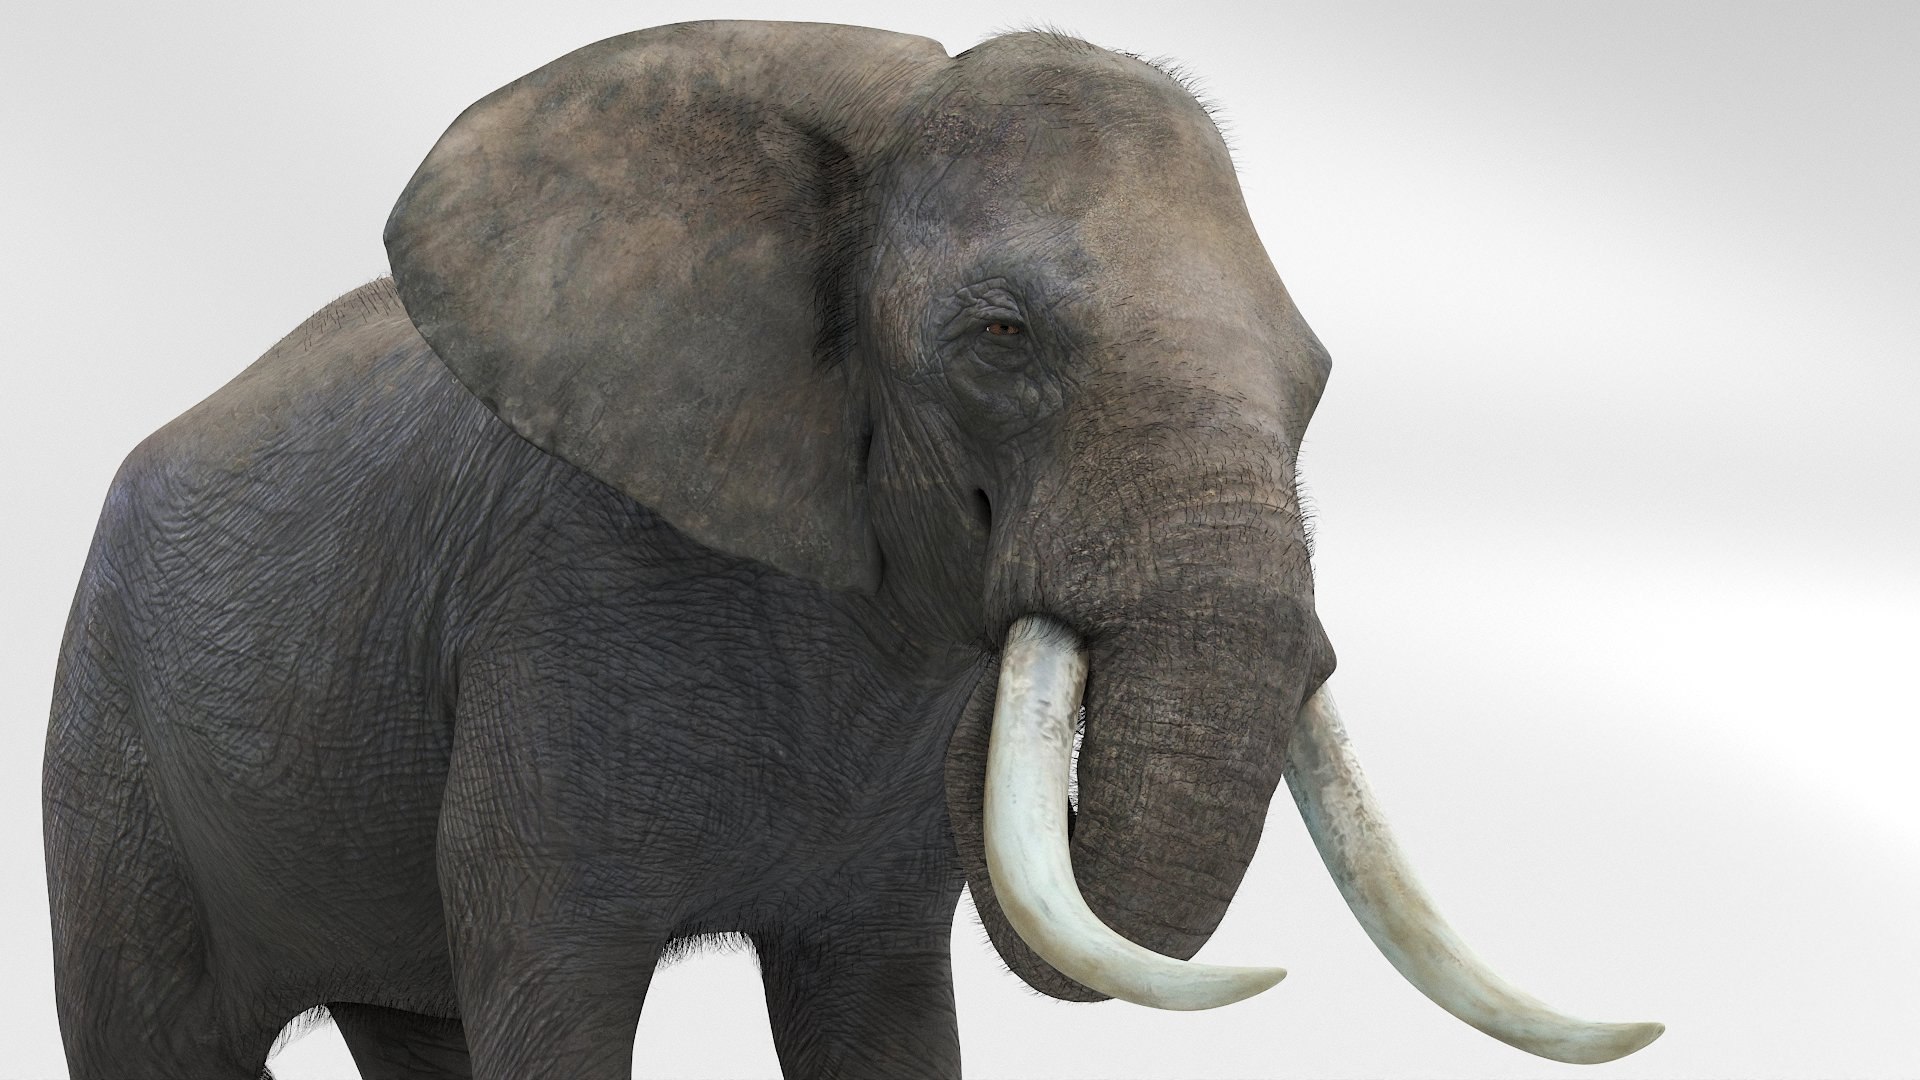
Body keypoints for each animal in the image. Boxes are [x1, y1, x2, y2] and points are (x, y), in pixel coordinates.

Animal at [42, 20, 1662, 1079]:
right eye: (1001, 337)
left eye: (1315, 378)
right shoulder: (543, 619)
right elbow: (553, 987)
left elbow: (881, 1015)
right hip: (106, 733)